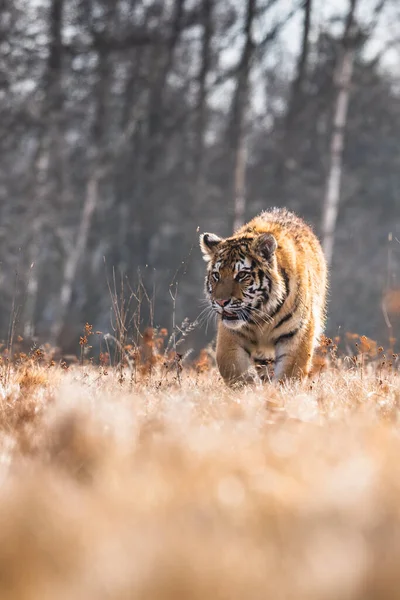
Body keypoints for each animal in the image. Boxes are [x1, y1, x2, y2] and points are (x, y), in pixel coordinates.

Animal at [200, 207, 328, 384]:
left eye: (241, 275)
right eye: (216, 275)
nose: (221, 302)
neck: (261, 315)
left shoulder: (298, 333)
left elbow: (289, 375)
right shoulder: (231, 334)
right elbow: (232, 368)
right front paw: (250, 387)